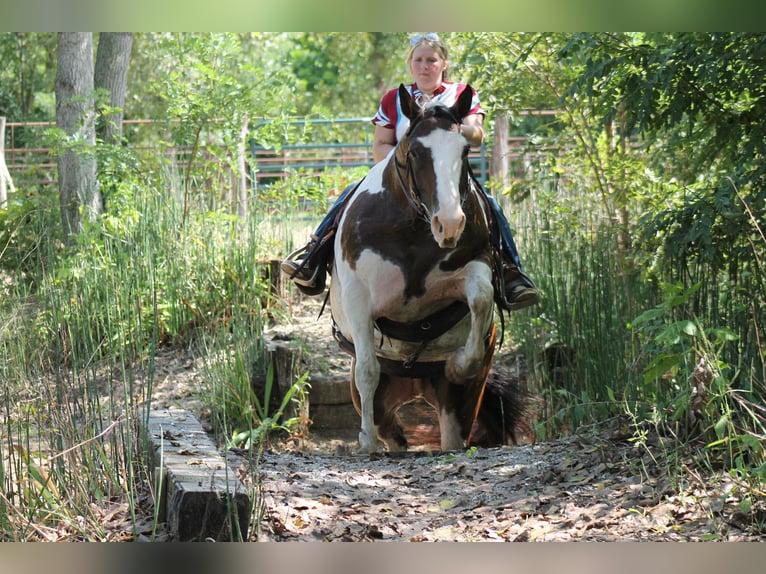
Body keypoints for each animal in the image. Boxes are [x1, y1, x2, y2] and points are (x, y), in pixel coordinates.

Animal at [330, 85, 528, 454]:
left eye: (464, 149)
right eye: (417, 151)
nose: (449, 223)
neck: (412, 231)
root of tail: (415, 384)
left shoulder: (476, 265)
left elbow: (481, 297)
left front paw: (458, 364)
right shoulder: (358, 298)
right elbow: (367, 370)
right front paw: (365, 443)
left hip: (458, 406)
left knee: (453, 436)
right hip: (385, 402)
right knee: (389, 427)